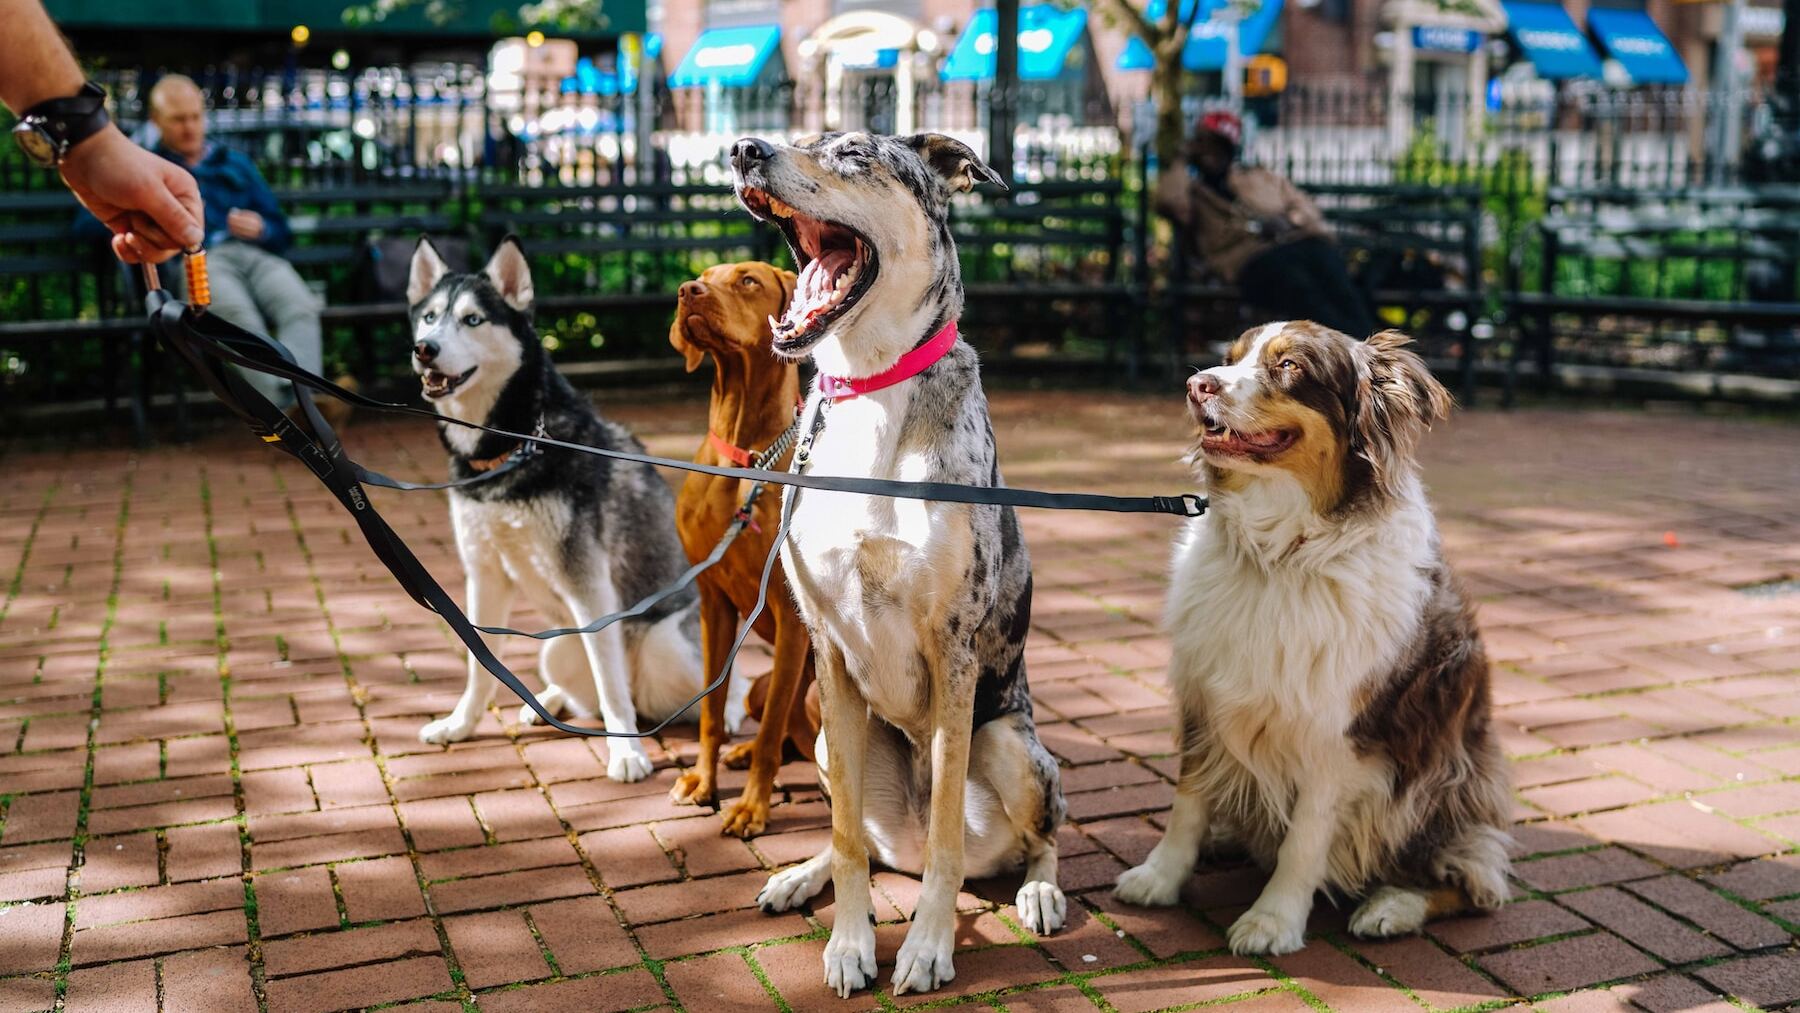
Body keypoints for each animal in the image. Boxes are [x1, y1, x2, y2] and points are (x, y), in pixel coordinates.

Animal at [669, 260, 824, 842]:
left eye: (748, 281)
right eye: (702, 275)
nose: (688, 292)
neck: (744, 458)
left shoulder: (790, 619)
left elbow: (773, 730)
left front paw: (752, 808)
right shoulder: (712, 601)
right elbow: (712, 711)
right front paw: (703, 780)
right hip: (757, 686)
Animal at [730, 133, 1065, 1000]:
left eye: (853, 152)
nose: (744, 147)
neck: (871, 385)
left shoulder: (953, 650)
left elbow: (947, 836)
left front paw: (926, 947)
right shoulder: (828, 648)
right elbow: (849, 837)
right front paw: (851, 943)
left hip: (1011, 745)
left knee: (1037, 837)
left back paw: (1039, 891)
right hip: (823, 738)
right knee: (867, 839)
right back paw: (800, 875)